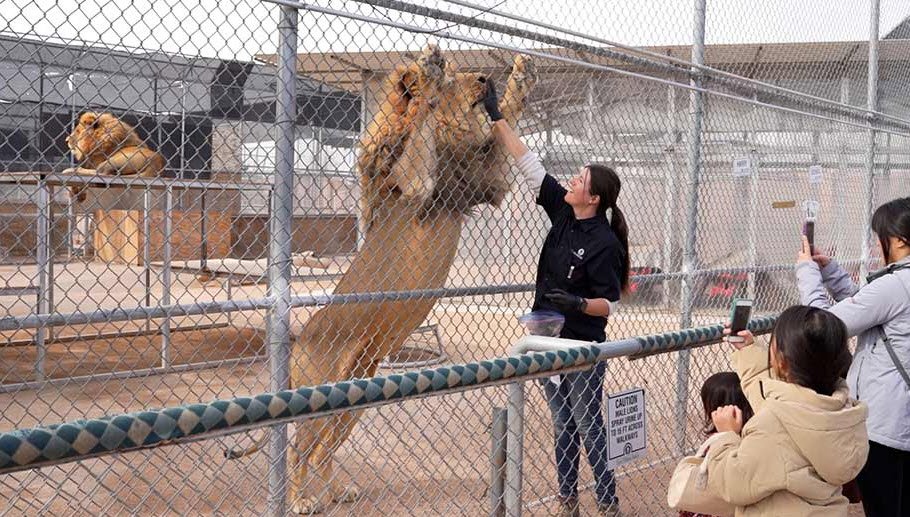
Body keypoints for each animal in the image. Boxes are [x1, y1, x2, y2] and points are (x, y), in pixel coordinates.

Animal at [227, 45, 536, 514]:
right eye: (457, 79)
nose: (484, 79)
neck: (455, 143)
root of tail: (298, 344)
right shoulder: (414, 184)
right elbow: (421, 118)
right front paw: (428, 75)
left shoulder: (488, 183)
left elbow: (508, 126)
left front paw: (520, 78)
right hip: (320, 390)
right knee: (300, 449)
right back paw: (300, 500)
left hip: (356, 394)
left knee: (324, 450)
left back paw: (337, 493)